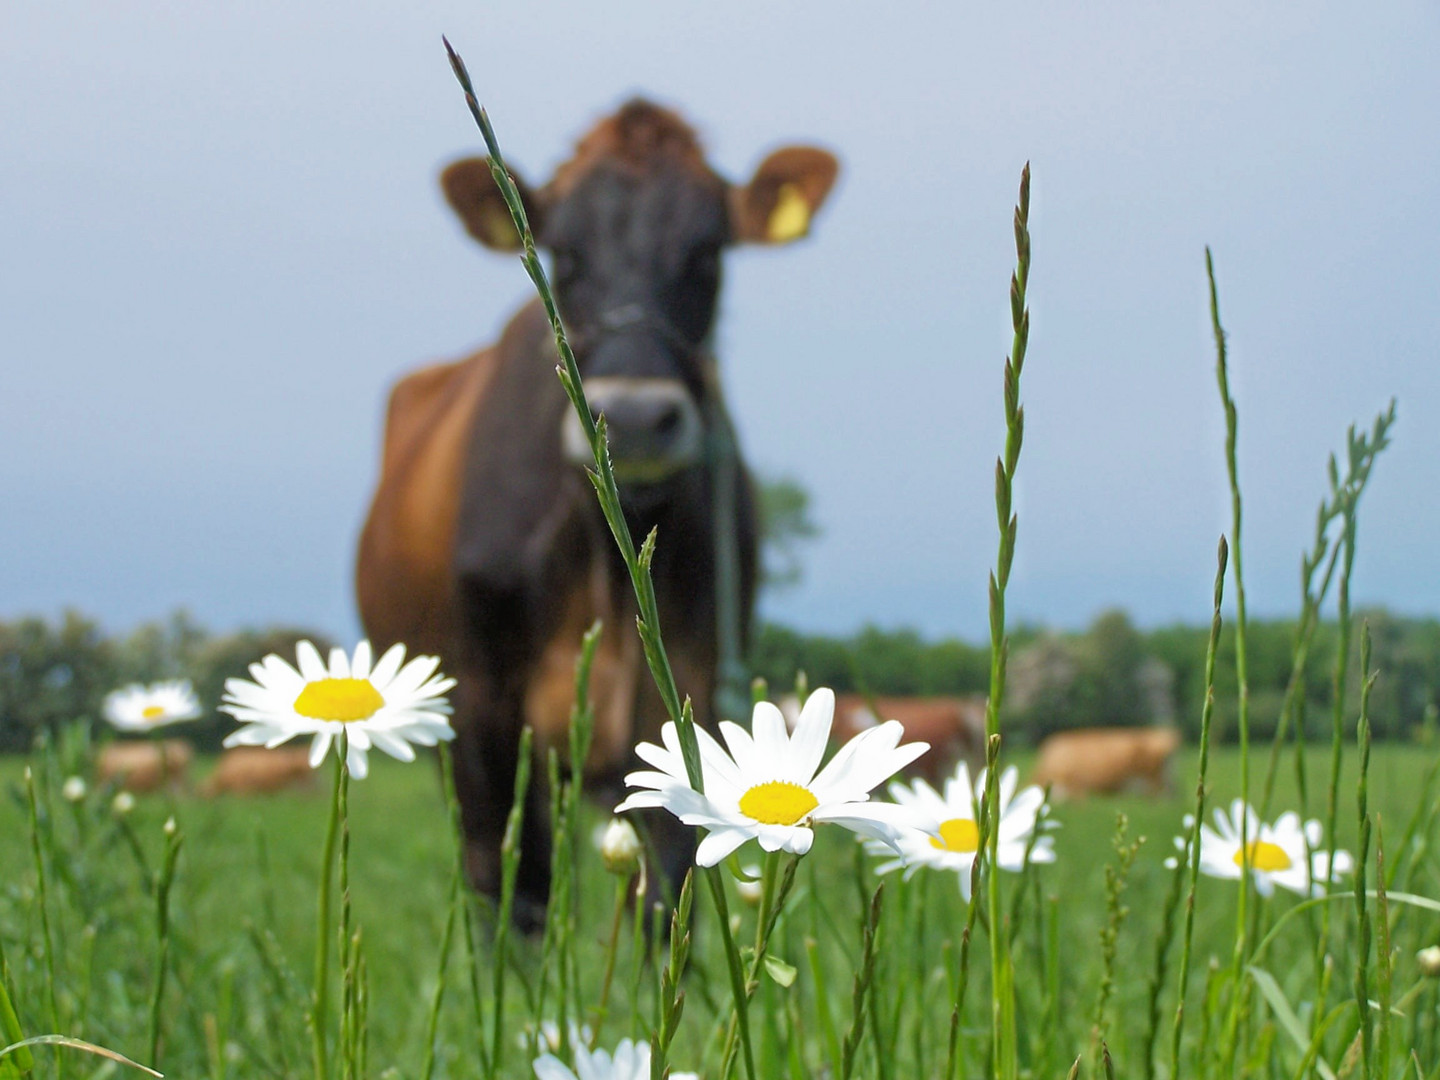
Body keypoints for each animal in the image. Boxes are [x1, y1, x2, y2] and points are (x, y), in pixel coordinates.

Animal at [354, 99, 840, 933]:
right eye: (566, 253)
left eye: (707, 253)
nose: (638, 417)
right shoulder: (483, 704)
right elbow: (517, 886)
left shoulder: (686, 685)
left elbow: (669, 887)